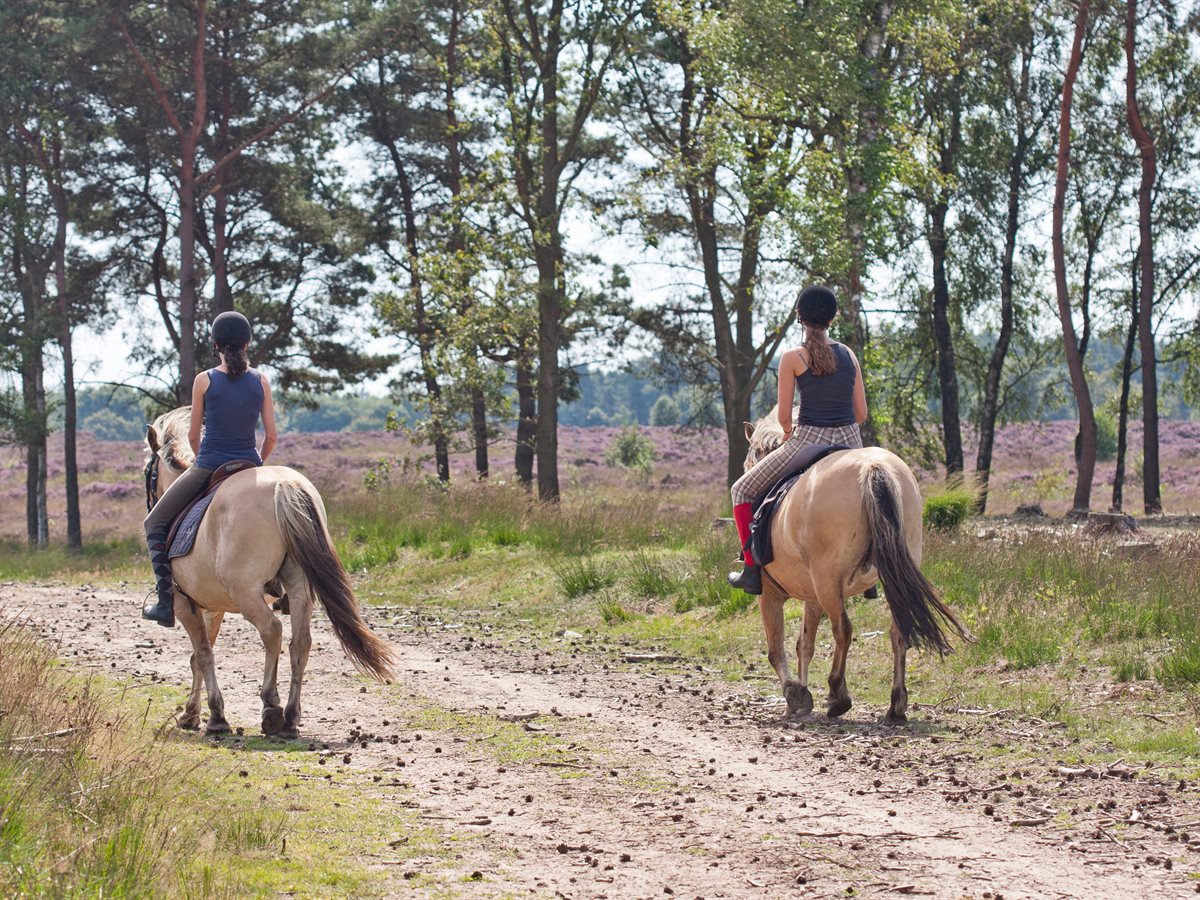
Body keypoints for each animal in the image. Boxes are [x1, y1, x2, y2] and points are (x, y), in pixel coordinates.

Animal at [141, 408, 393, 739]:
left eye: (148, 471)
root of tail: (284, 486)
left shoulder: (185, 605)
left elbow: (203, 654)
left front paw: (214, 716)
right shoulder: (214, 608)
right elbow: (199, 656)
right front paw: (191, 714)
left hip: (246, 594)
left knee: (272, 631)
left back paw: (271, 707)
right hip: (298, 588)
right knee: (301, 642)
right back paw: (291, 716)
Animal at [744, 410, 969, 724]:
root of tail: (873, 467)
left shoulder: (770, 594)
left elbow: (777, 650)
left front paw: (793, 694)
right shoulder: (812, 597)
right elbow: (805, 645)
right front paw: (800, 695)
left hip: (828, 582)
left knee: (843, 629)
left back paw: (838, 695)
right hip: (888, 577)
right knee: (898, 631)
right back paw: (896, 704)